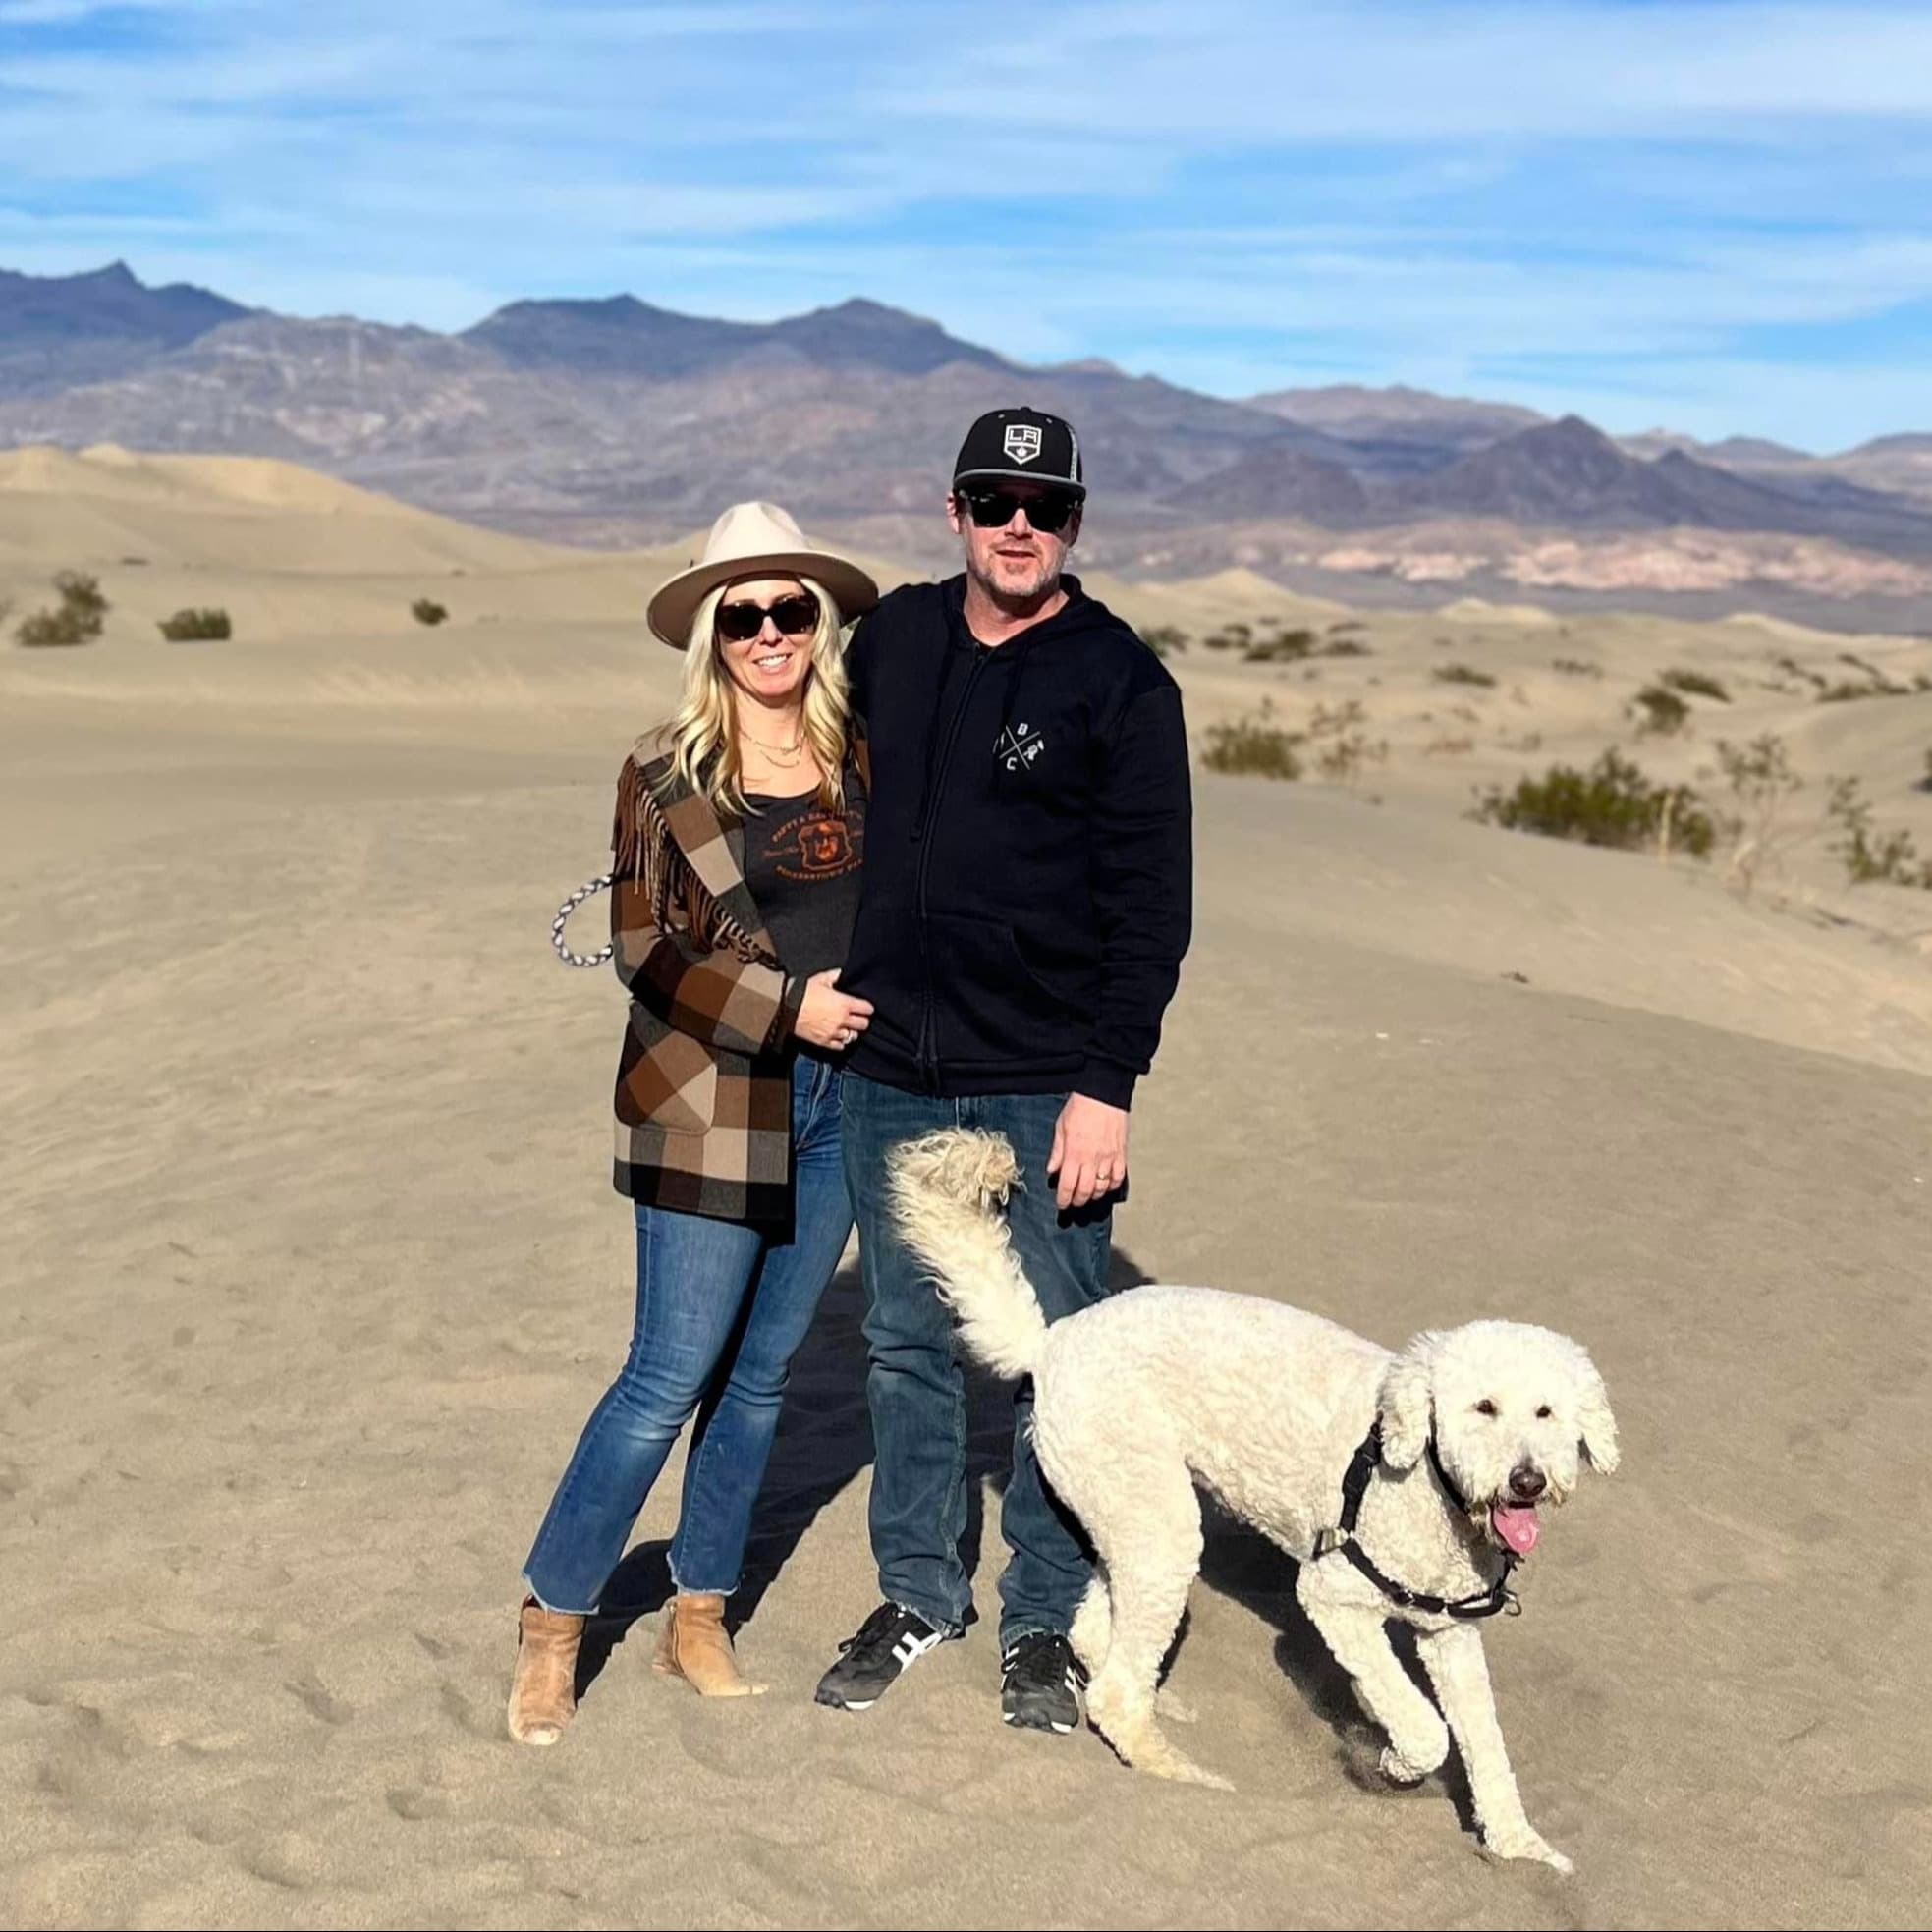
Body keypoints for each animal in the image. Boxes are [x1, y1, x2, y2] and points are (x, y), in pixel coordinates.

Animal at [888, 1128, 1615, 1870]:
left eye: (1547, 1412)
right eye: (1483, 1407)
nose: (1527, 1481)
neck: (1428, 1483)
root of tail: (1051, 1340)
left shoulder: (1450, 1634)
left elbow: (1485, 1747)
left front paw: (1520, 1848)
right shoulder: (1333, 1598)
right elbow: (1427, 1728)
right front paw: (1393, 1762)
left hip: (1129, 1507)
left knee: (1097, 1634)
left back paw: (1158, 1701)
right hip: (1153, 1514)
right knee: (1115, 1693)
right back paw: (1181, 1772)